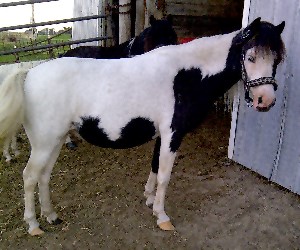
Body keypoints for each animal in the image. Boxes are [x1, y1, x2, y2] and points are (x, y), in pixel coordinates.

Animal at [0, 17, 286, 234]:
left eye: (277, 59)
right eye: (250, 57)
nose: (265, 100)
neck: (188, 75)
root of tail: (30, 74)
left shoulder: (162, 135)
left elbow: (155, 166)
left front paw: (149, 198)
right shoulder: (173, 134)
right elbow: (165, 175)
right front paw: (162, 216)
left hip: (55, 140)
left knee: (44, 176)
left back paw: (51, 215)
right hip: (45, 143)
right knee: (29, 177)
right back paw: (33, 225)